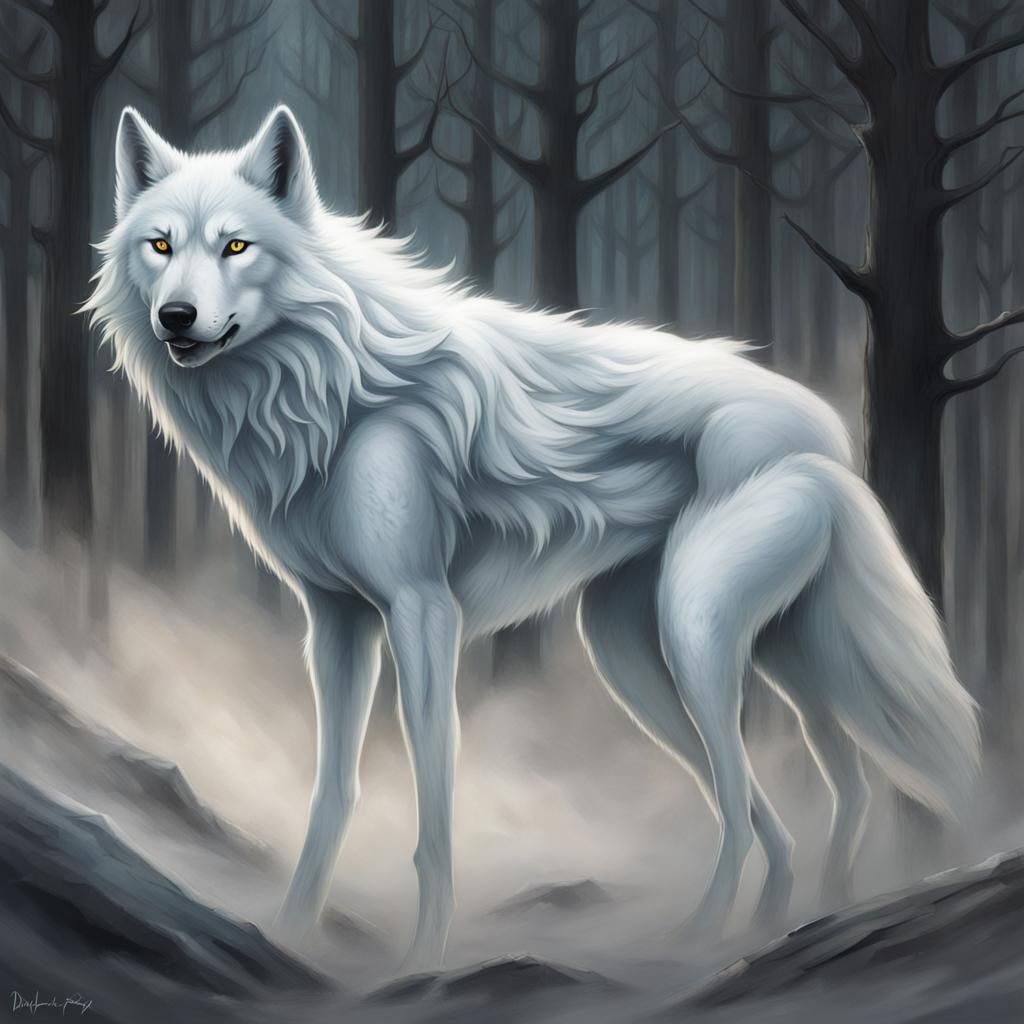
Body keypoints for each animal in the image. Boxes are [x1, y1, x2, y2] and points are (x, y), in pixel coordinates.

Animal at [87, 105, 980, 968]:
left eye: (236, 246)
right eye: (160, 245)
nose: (176, 316)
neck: (325, 392)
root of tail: (824, 428)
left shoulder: (421, 613)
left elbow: (434, 811)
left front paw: (421, 956)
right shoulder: (337, 624)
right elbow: (332, 795)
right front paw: (296, 932)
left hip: (695, 636)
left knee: (741, 801)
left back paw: (699, 941)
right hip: (657, 657)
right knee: (819, 797)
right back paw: (781, 924)